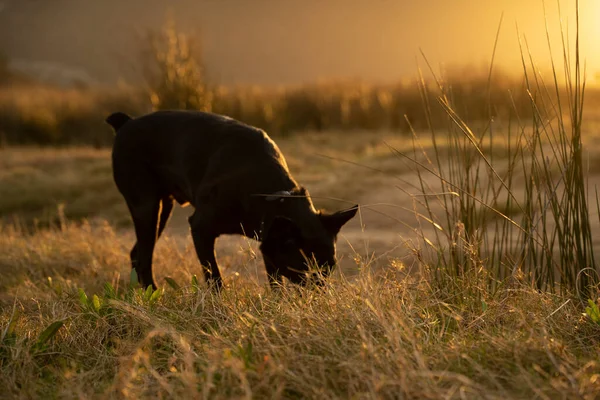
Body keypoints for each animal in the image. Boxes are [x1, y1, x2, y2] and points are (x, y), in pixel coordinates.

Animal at [106, 111, 358, 290]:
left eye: (329, 269)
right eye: (304, 270)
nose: (321, 294)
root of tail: (126, 123)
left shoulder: (269, 243)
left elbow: (275, 282)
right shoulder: (201, 229)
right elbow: (214, 278)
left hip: (162, 210)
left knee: (137, 254)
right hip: (146, 208)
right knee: (144, 257)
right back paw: (153, 293)